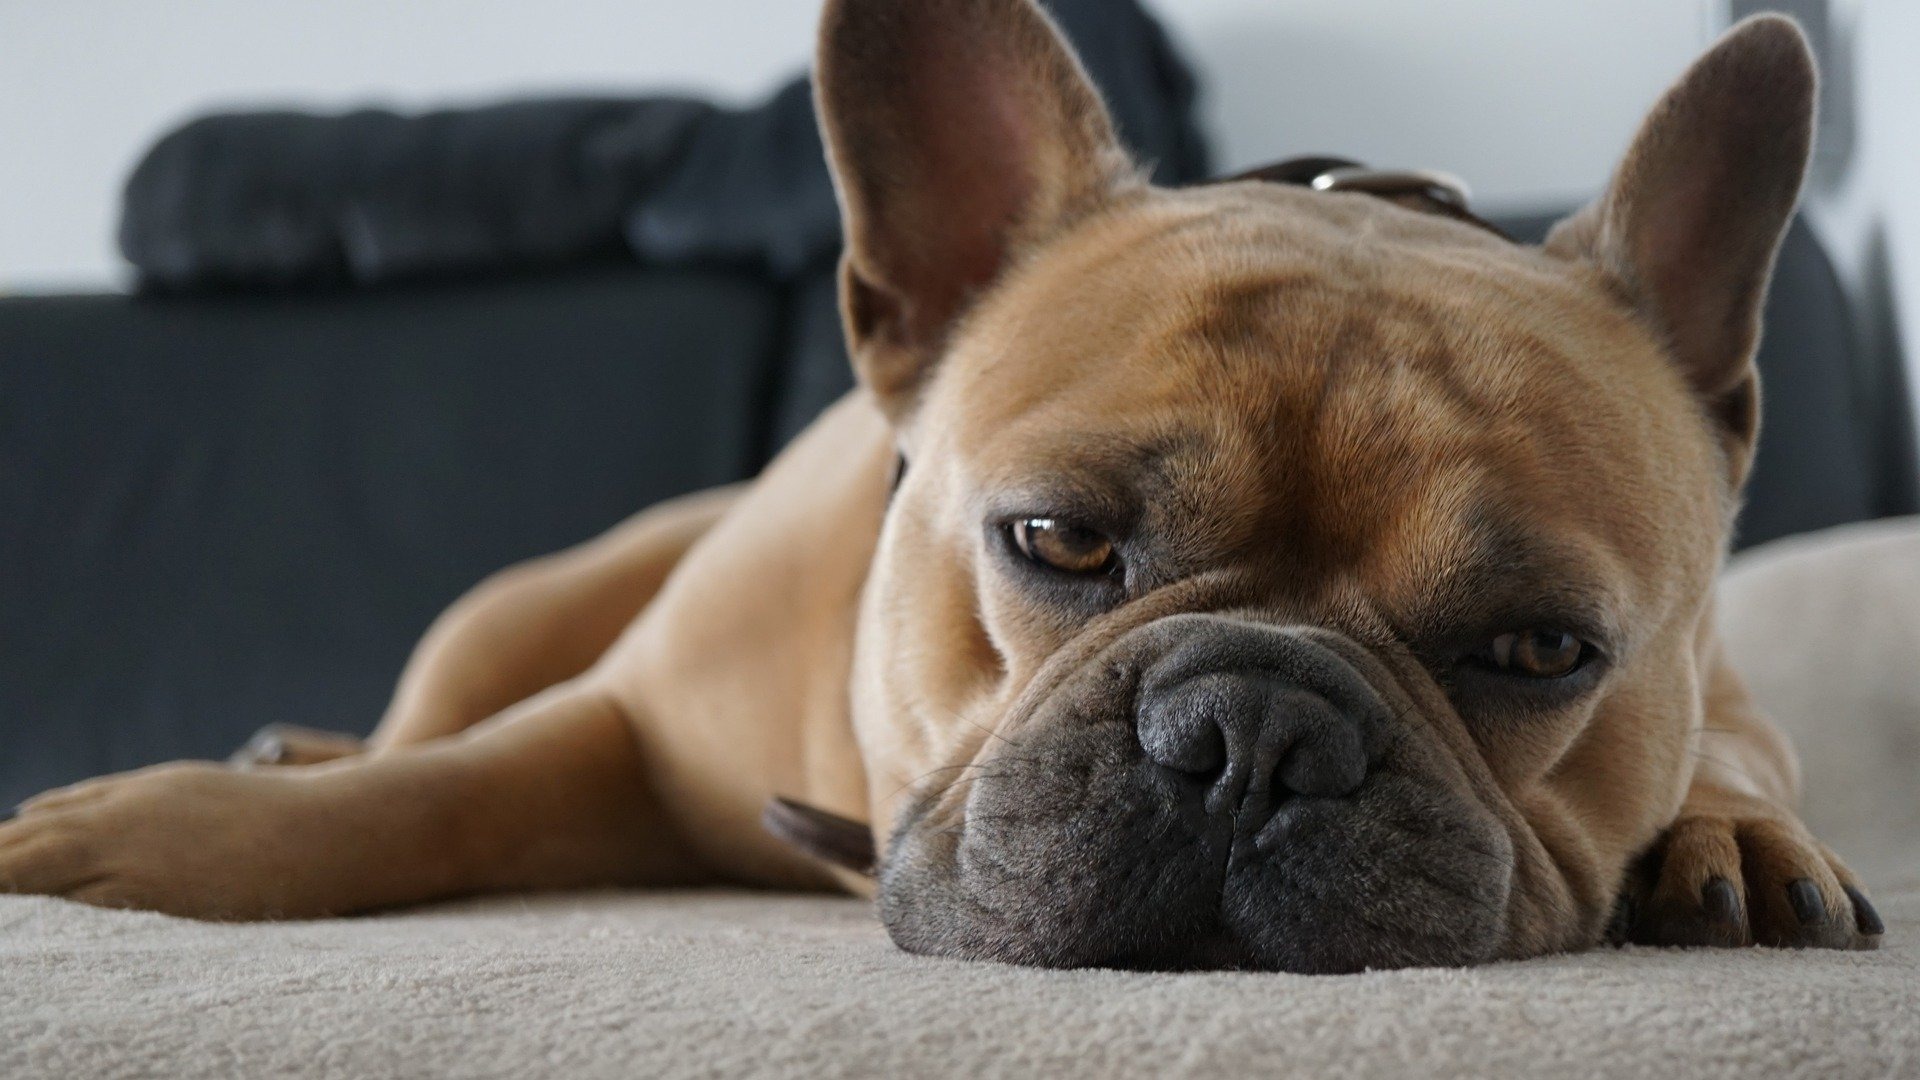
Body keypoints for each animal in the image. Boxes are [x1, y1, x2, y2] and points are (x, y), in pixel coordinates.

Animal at [0, 2, 1881, 968]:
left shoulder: (1719, 684)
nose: (1257, 729)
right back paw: (288, 750)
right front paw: (167, 833)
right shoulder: (621, 720)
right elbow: (445, 791)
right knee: (419, 722)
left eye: (1544, 653)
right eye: (1057, 539)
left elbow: (1734, 754)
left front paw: (1728, 832)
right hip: (515, 606)